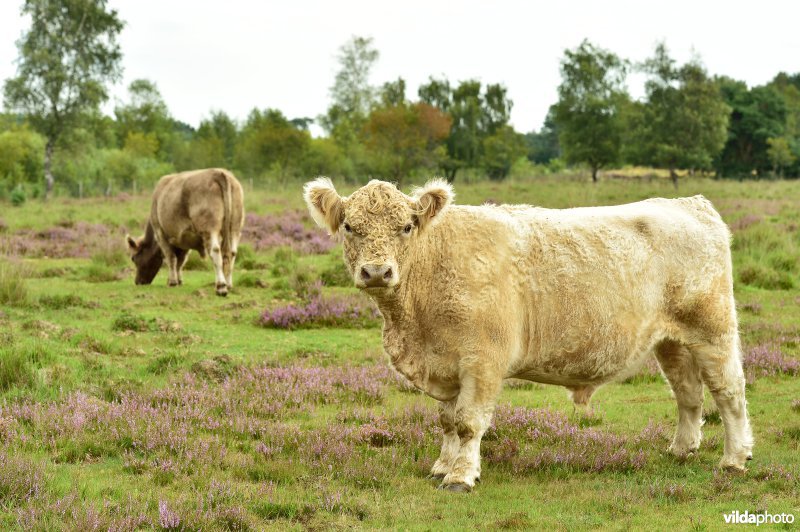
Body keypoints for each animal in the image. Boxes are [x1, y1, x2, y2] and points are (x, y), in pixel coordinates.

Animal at [125, 169, 242, 298]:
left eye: (133, 258)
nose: (138, 282)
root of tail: (218, 172)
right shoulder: (184, 240)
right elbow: (180, 261)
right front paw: (178, 280)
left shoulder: (160, 233)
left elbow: (171, 257)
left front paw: (172, 282)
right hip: (235, 227)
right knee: (231, 253)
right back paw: (229, 284)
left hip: (210, 228)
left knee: (215, 251)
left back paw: (221, 286)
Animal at [304, 178, 752, 490]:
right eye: (350, 226)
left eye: (407, 226)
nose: (377, 272)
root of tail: (689, 203)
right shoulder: (446, 364)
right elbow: (447, 421)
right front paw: (442, 467)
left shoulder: (482, 361)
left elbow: (468, 423)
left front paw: (461, 477)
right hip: (672, 340)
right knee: (687, 392)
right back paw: (681, 450)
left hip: (713, 330)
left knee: (729, 391)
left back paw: (734, 459)